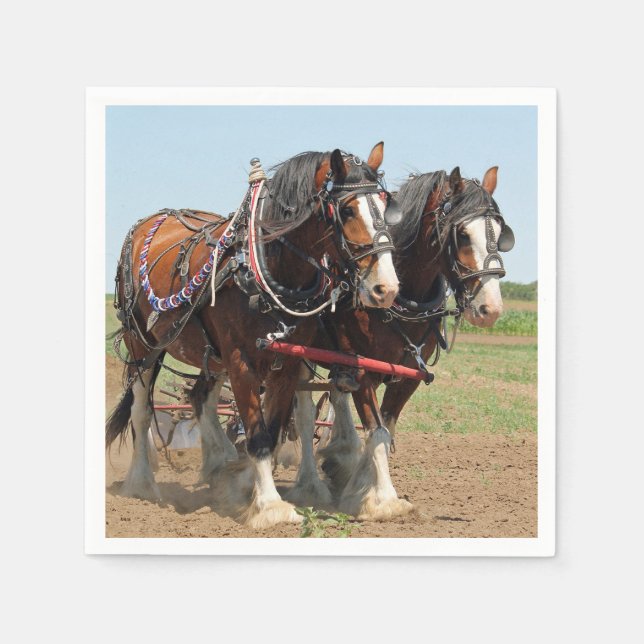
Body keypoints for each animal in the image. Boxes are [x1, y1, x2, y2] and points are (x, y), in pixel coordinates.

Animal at [106, 142, 402, 529]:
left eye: (384, 203)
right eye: (347, 209)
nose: (387, 288)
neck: (266, 268)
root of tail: (151, 221)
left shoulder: (287, 362)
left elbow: (272, 430)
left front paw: (248, 488)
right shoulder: (240, 361)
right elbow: (258, 433)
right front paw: (270, 507)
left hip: (208, 353)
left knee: (201, 397)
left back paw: (220, 465)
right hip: (143, 343)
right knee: (142, 409)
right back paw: (142, 482)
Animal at [291, 166, 515, 520]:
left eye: (499, 231)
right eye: (463, 235)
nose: (490, 309)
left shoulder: (408, 375)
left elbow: (387, 429)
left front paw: (360, 483)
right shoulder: (363, 370)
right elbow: (378, 431)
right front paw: (383, 499)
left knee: (336, 397)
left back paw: (340, 459)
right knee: (302, 415)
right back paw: (310, 485)